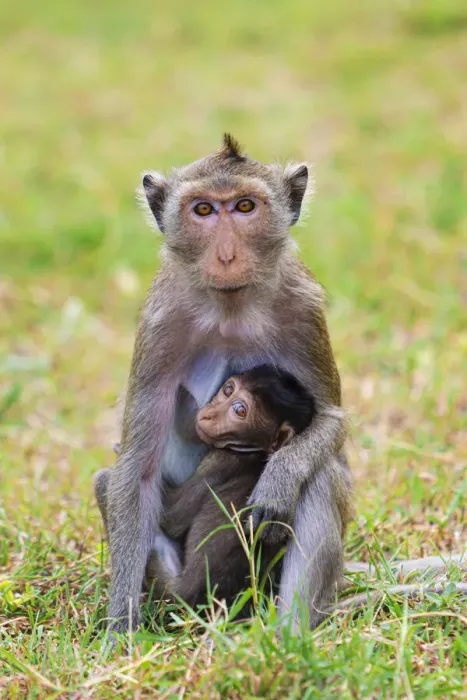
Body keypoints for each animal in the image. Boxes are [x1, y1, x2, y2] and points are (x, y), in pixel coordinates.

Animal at [143, 365, 318, 607]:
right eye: (227, 390)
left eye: (240, 410)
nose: (208, 414)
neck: (254, 450)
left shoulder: (219, 461)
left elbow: (171, 519)